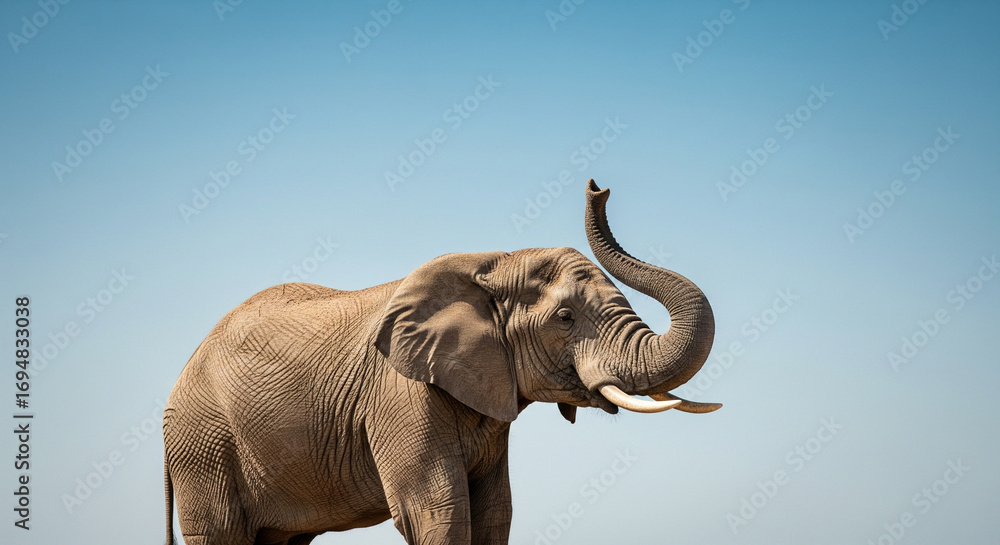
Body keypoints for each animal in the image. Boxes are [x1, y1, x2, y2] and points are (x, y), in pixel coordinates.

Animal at [162, 180, 721, 545]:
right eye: (565, 317)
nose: (597, 189)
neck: (493, 262)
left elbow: (495, 514)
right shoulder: (399, 393)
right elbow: (438, 512)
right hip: (202, 444)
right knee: (220, 534)